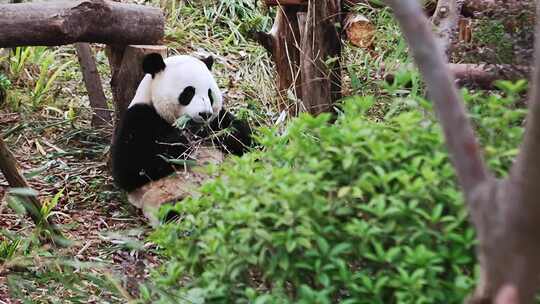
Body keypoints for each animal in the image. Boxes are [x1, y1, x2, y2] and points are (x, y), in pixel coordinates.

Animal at [111, 52, 253, 226]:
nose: (204, 114)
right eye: (188, 92)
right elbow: (129, 169)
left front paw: (227, 134)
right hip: (166, 195)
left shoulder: (217, 120)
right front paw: (183, 139)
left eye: (210, 94)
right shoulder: (139, 117)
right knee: (174, 212)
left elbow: (245, 139)